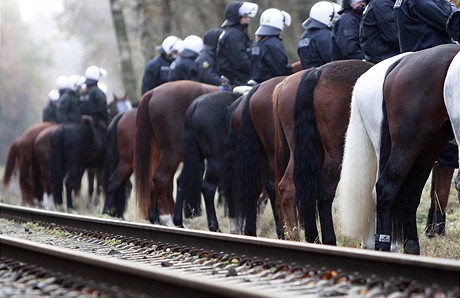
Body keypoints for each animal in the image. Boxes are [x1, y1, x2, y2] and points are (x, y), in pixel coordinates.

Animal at [177, 91, 241, 230]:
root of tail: (195, 105)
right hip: (217, 160)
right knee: (207, 187)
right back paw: (214, 227)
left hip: (194, 155)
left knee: (182, 180)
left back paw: (178, 222)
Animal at [338, 44, 460, 254]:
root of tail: (399, 64)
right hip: (406, 145)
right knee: (385, 188)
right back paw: (383, 244)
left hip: (426, 147)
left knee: (408, 195)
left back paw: (409, 247)